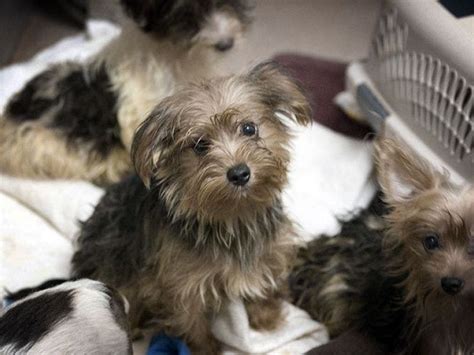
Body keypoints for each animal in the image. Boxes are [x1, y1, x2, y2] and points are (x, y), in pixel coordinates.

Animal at [71, 61, 312, 354]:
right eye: (199, 145)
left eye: (249, 128)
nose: (239, 173)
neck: (234, 216)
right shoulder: (181, 284)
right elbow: (191, 320)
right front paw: (207, 348)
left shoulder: (271, 249)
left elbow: (265, 279)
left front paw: (266, 317)